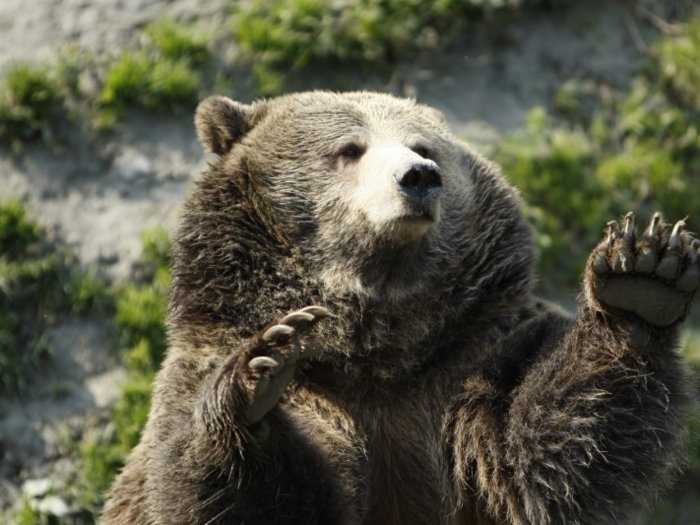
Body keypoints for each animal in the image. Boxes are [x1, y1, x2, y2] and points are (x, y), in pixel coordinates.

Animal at [101, 92, 696, 520]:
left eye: (425, 147)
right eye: (349, 148)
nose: (419, 178)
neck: (375, 348)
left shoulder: (465, 363)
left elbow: (540, 453)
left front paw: (641, 281)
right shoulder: (220, 368)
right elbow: (230, 491)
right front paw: (259, 373)